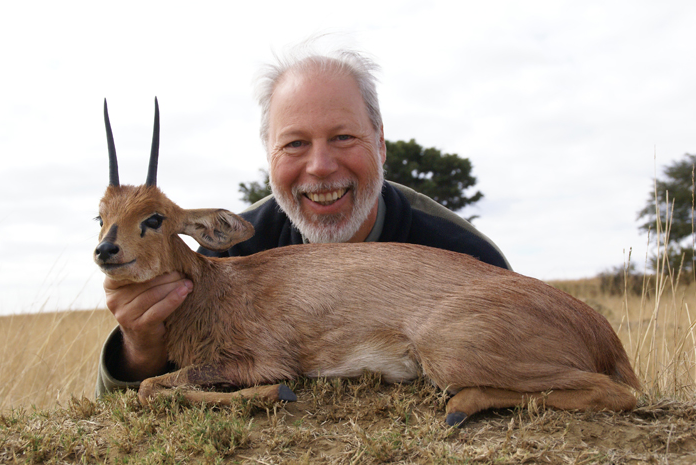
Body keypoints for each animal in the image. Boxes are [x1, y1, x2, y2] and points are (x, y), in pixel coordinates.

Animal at [95, 99, 640, 426]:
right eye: (100, 215)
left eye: (155, 218)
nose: (105, 251)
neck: (215, 290)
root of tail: (600, 332)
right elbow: (150, 385)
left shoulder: (261, 359)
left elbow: (151, 386)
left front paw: (274, 395)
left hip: (452, 354)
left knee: (618, 393)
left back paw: (458, 407)